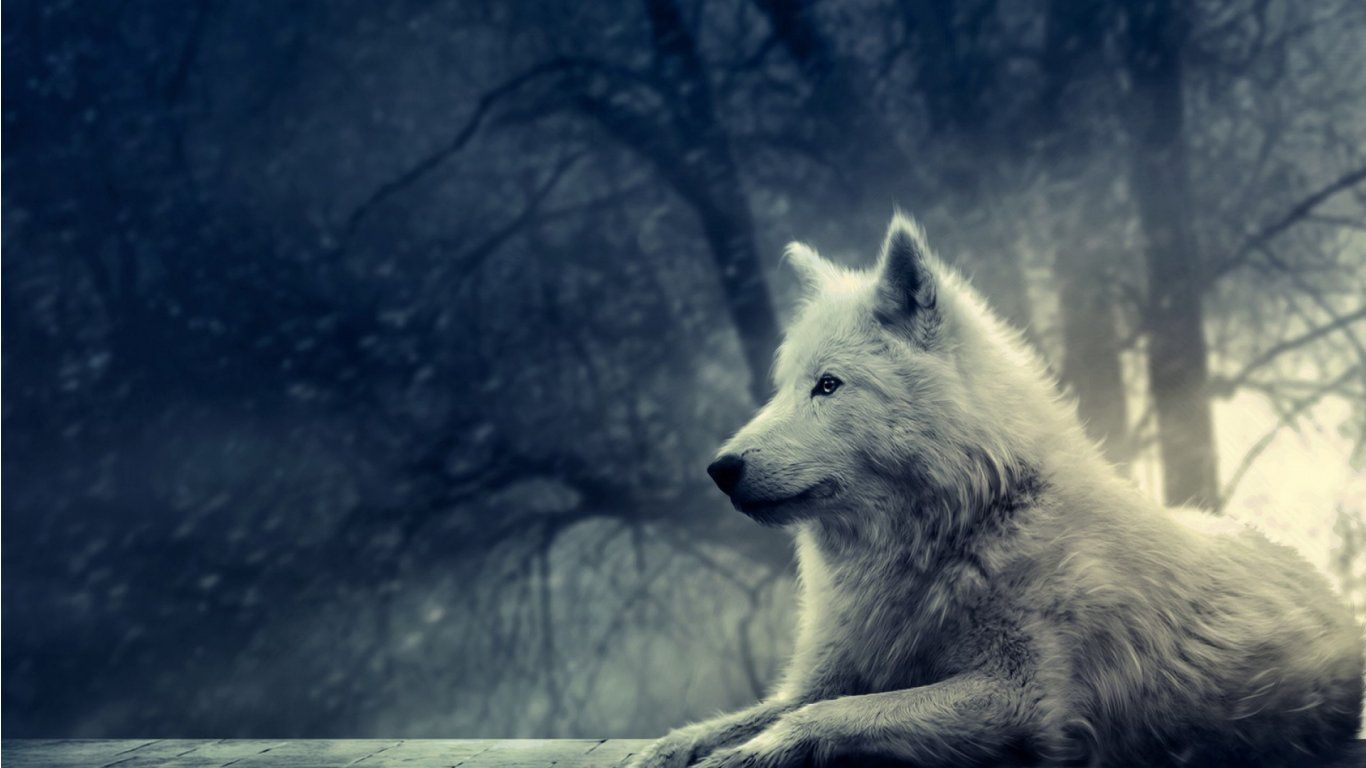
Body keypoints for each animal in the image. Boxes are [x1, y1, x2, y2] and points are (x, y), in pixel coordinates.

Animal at [630, 216, 1363, 767]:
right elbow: (742, 717)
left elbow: (828, 716)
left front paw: (748, 754)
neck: (966, 524)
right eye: (783, 387)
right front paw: (667, 749)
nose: (720, 468)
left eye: (829, 385)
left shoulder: (1020, 698)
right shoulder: (826, 673)